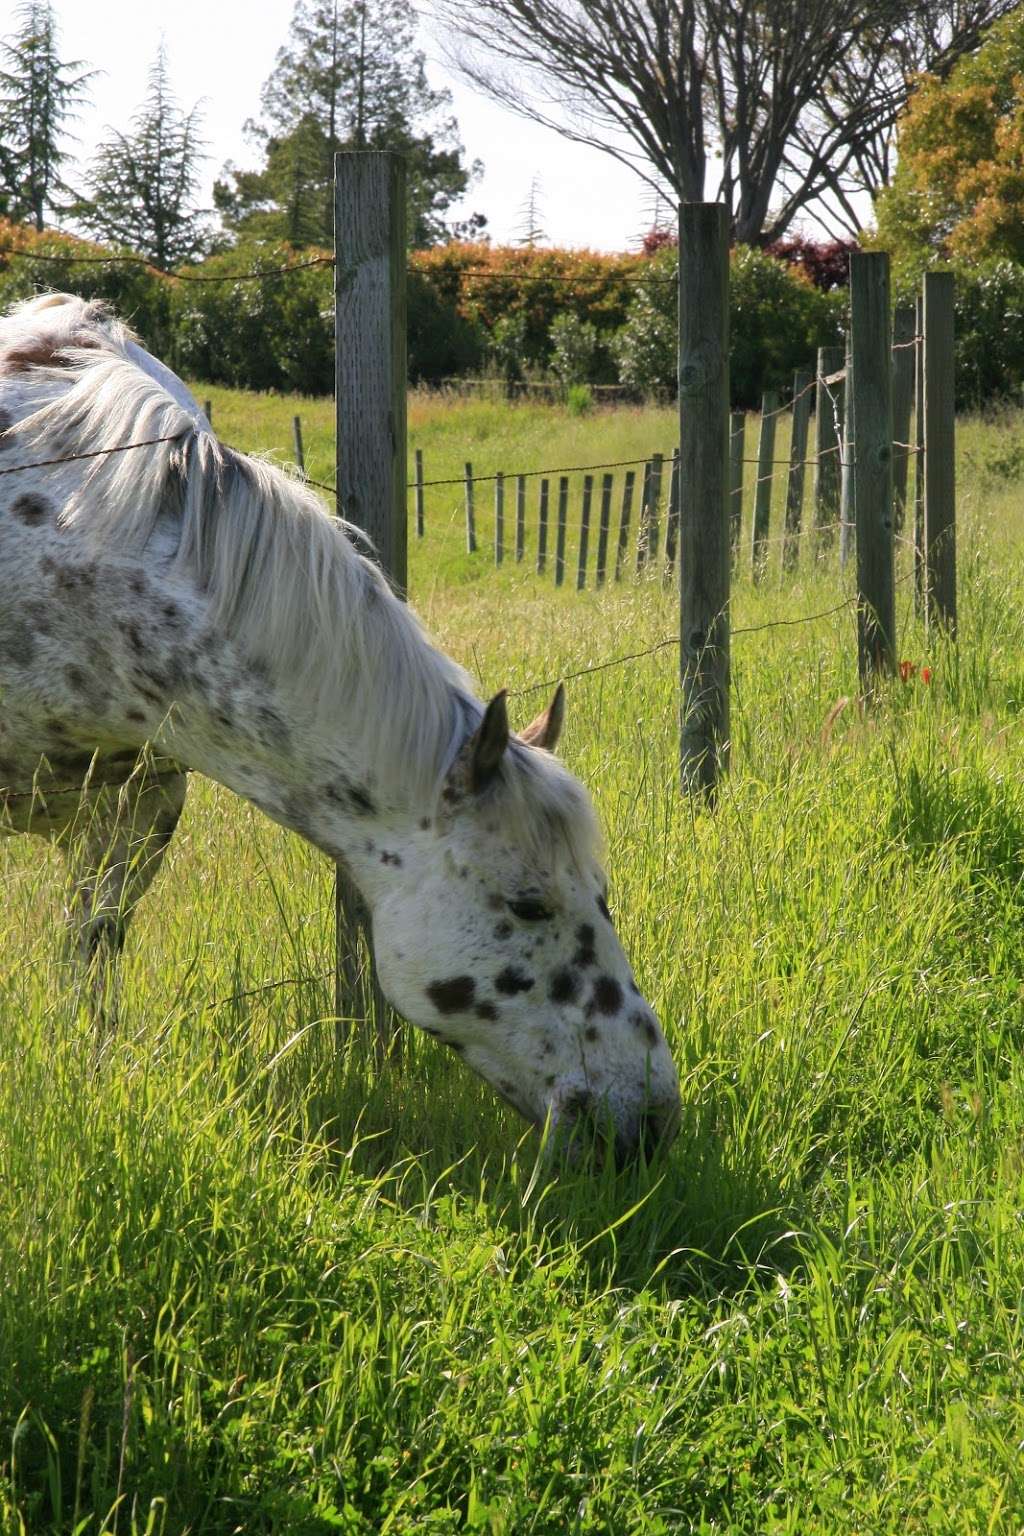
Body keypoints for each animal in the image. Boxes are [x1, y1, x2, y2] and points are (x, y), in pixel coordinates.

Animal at [0, 290, 684, 1155]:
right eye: (529, 904)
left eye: (604, 893)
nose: (648, 1118)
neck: (77, 564)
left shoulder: (133, 817)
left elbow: (90, 959)